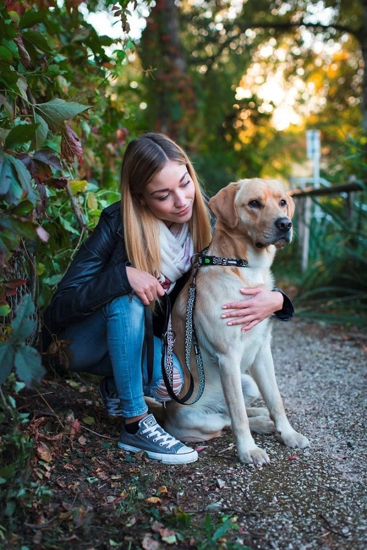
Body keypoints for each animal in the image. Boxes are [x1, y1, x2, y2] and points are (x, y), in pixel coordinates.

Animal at [166, 180, 310, 466]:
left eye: (282, 202)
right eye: (254, 203)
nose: (285, 224)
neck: (244, 269)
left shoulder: (263, 351)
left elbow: (276, 400)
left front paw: (288, 433)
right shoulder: (228, 356)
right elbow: (238, 416)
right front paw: (248, 451)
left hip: (248, 383)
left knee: (240, 409)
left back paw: (264, 419)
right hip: (197, 417)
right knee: (227, 420)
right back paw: (259, 425)